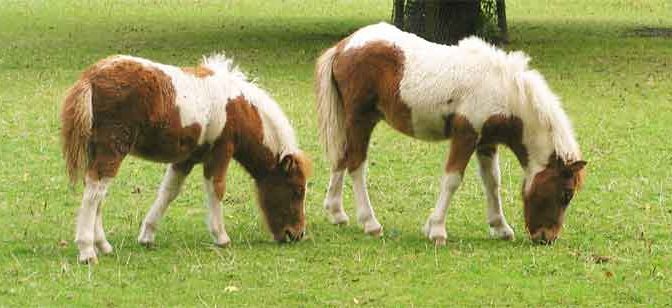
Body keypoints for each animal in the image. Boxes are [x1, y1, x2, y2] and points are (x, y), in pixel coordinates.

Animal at [61, 54, 312, 264]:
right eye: (297, 190)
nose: (296, 234)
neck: (237, 109)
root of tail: (90, 78)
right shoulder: (220, 152)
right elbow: (217, 189)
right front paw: (221, 237)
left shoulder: (186, 159)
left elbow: (168, 192)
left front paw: (147, 235)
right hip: (113, 149)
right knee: (95, 191)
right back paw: (87, 250)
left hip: (98, 150)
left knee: (96, 191)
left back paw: (103, 245)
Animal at [314, 22, 584, 245]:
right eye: (566, 193)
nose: (547, 238)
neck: (503, 90)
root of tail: (343, 46)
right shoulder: (465, 135)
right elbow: (453, 179)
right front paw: (436, 230)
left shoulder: (486, 142)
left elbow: (492, 181)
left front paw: (500, 227)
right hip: (361, 120)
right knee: (356, 164)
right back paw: (370, 223)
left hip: (352, 122)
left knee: (342, 157)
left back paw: (336, 213)